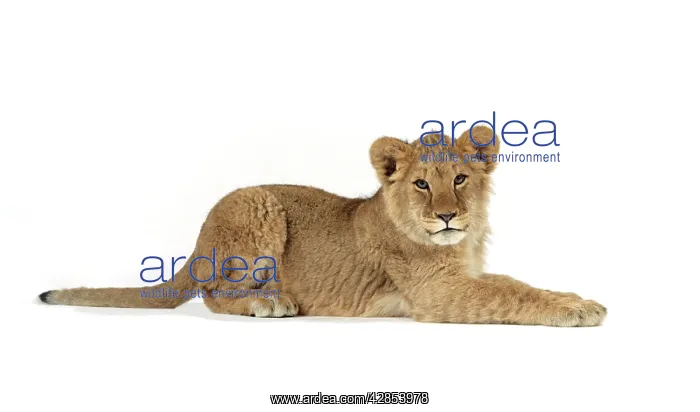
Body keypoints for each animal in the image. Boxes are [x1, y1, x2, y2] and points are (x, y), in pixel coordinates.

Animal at [38, 126, 606, 326]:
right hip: (257, 207)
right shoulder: (436, 293)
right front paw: (578, 309)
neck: (459, 241)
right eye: (422, 184)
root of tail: (199, 238)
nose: (446, 214)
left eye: (461, 179)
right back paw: (269, 303)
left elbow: (519, 282)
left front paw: (575, 297)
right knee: (214, 295)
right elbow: (510, 292)